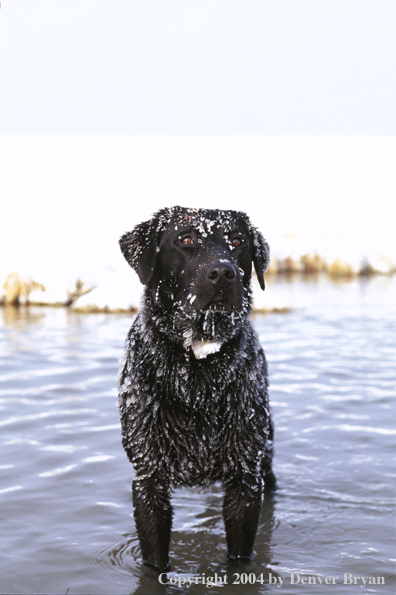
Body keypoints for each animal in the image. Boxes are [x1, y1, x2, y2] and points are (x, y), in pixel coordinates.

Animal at [117, 206, 276, 572]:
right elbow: (155, 563)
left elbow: (239, 559)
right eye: (186, 240)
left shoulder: (246, 479)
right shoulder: (148, 478)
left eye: (237, 241)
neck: (197, 374)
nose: (223, 273)